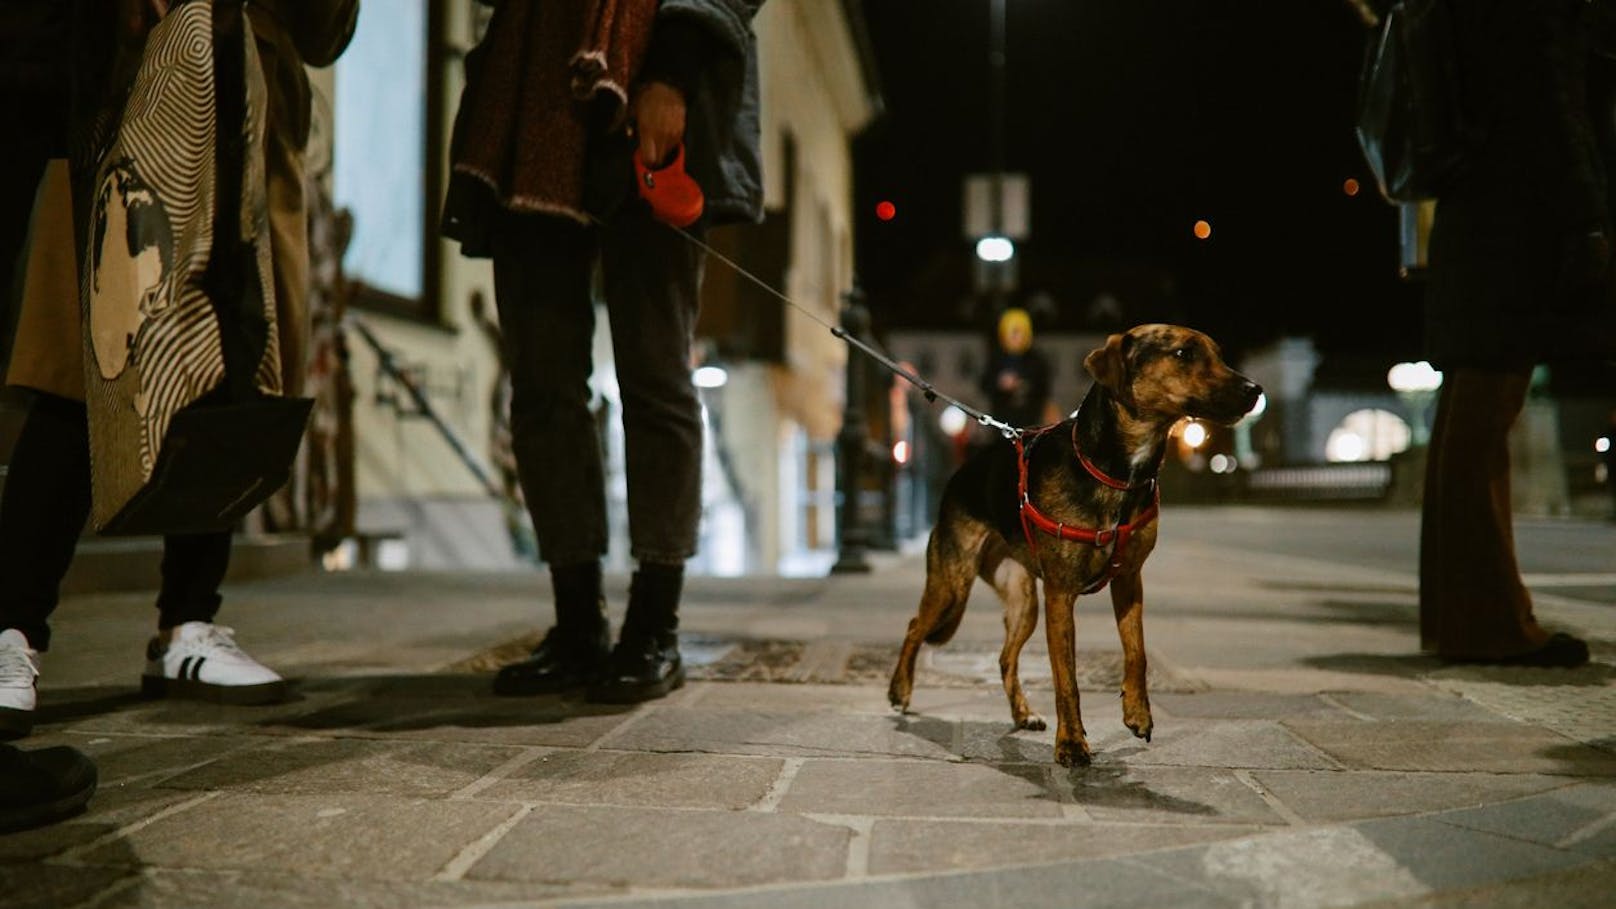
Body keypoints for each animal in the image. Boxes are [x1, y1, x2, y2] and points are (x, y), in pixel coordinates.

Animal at [892, 325, 1254, 763]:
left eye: (1218, 354)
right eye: (1184, 353)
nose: (1255, 390)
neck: (1117, 470)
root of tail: (962, 472)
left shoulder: (1129, 581)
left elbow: (1137, 652)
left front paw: (1137, 712)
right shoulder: (1061, 596)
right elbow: (1067, 678)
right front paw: (1072, 744)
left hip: (1024, 603)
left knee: (1004, 657)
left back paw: (1023, 713)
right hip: (952, 584)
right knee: (914, 627)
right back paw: (899, 690)